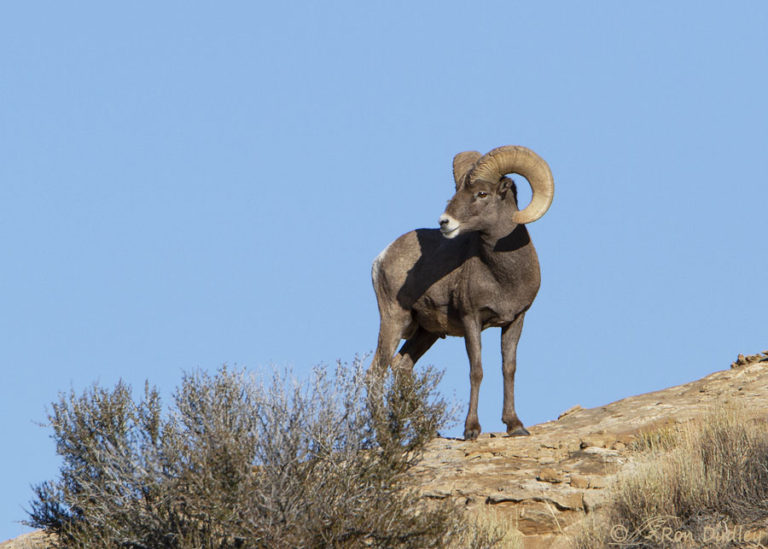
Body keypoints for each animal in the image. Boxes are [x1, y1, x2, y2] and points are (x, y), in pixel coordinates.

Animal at [370, 146, 552, 440]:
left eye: (482, 194)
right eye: (456, 192)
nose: (444, 222)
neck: (502, 275)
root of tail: (381, 257)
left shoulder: (515, 320)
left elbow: (509, 368)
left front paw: (515, 426)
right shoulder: (471, 319)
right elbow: (476, 370)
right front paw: (471, 430)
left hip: (427, 332)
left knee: (401, 366)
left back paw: (428, 431)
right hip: (394, 321)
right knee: (376, 373)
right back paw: (385, 437)